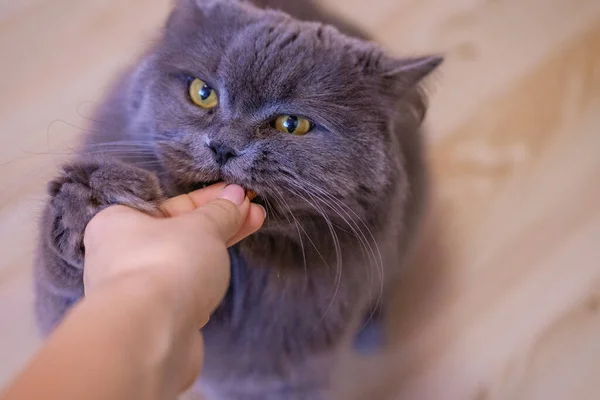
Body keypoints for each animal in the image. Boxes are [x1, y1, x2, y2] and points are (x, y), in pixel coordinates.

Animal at [34, 1, 440, 398]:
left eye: (292, 125)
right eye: (203, 93)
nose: (223, 147)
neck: (242, 264)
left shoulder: (281, 376)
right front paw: (92, 201)